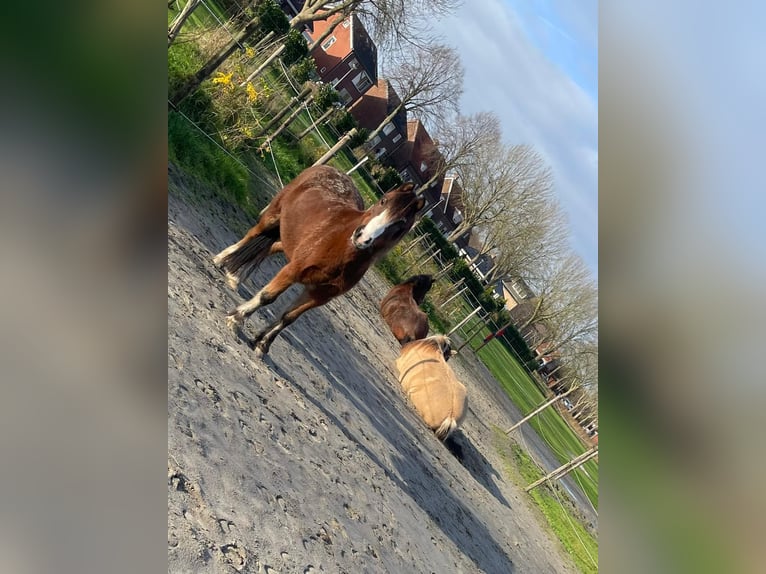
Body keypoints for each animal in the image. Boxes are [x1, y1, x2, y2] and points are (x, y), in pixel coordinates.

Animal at [213, 164, 424, 358]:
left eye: (401, 225)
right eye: (383, 201)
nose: (362, 237)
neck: (341, 246)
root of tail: (330, 169)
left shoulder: (320, 294)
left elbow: (289, 317)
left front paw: (262, 344)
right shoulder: (292, 271)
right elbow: (267, 297)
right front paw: (236, 319)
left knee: (270, 247)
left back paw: (235, 276)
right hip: (272, 217)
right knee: (252, 235)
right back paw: (221, 260)